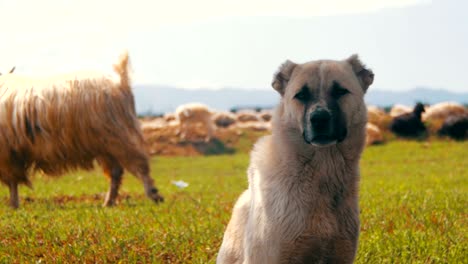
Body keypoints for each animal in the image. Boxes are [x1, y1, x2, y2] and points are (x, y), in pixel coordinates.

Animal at [0, 52, 164, 208]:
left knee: (138, 164)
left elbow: (12, 182)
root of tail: (120, 82)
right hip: (106, 144)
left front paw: (14, 205)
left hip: (119, 135)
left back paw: (153, 194)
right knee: (116, 172)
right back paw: (108, 202)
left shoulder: (8, 155)